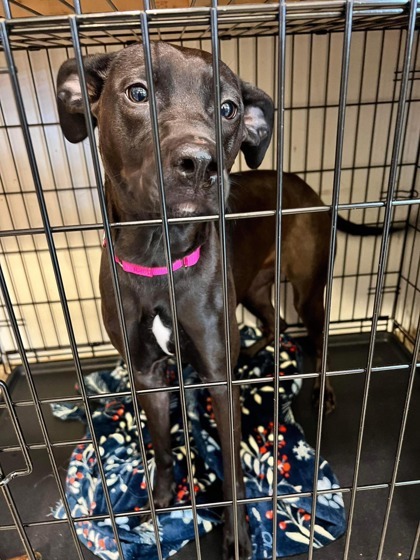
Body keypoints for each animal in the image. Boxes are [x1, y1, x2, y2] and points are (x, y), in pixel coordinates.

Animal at [55, 42, 390, 560]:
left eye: (229, 108)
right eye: (137, 93)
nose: (200, 164)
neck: (161, 257)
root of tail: (309, 187)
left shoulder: (217, 378)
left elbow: (232, 468)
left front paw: (239, 535)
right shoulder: (147, 375)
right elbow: (162, 446)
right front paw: (160, 501)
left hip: (308, 290)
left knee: (316, 334)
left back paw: (322, 389)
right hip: (251, 290)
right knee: (275, 325)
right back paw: (255, 355)